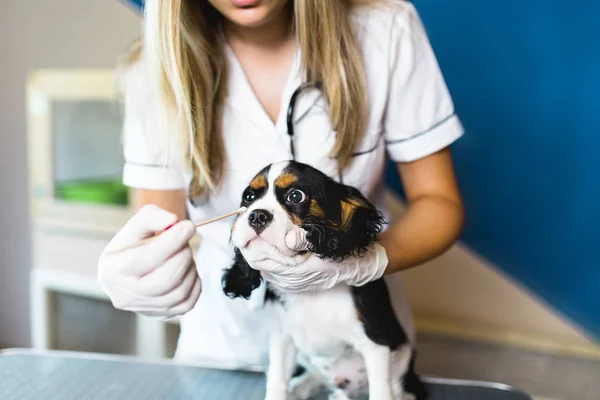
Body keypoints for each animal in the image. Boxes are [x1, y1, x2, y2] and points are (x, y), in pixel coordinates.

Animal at [221, 160, 426, 400]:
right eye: (249, 197)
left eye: (295, 196)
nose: (256, 216)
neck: (312, 292)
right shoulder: (282, 338)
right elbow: (277, 381)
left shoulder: (376, 343)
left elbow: (381, 392)